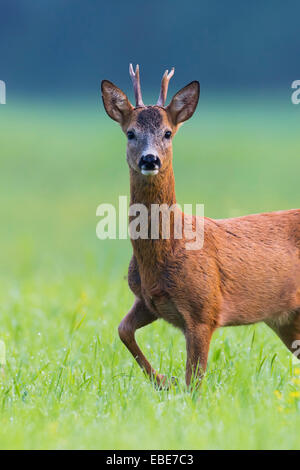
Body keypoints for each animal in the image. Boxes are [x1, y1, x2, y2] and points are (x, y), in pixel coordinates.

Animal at [101, 66, 300, 390]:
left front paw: (173, 387)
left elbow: (194, 381)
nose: (150, 159)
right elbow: (122, 330)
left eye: (167, 133)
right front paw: (162, 380)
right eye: (130, 133)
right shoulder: (147, 300)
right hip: (286, 318)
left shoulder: (204, 309)